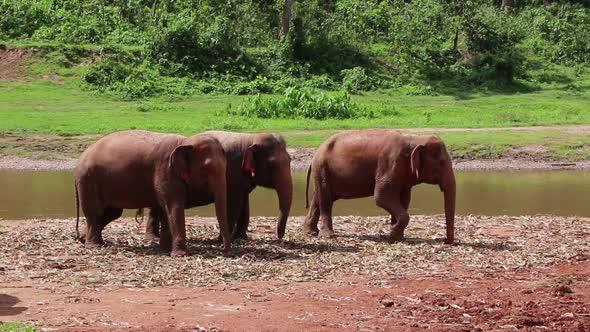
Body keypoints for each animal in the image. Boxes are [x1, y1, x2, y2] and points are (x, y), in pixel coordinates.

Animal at [74, 130, 231, 256]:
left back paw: (84, 239)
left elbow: (166, 210)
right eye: (206, 169)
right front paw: (180, 255)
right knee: (95, 212)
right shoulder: (165, 172)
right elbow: (174, 207)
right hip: (88, 180)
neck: (185, 141)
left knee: (112, 213)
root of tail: (81, 158)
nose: (222, 249)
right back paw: (94, 246)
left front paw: (165, 250)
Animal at [146, 131, 294, 243]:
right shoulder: (233, 172)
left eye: (290, 160)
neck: (250, 138)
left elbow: (245, 207)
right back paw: (153, 237)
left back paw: (154, 236)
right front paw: (224, 240)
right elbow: (234, 206)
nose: (279, 237)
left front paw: (241, 238)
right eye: (272, 165)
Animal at [302, 129, 460, 244]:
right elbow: (381, 197)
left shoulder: (404, 175)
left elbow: (404, 200)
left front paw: (396, 237)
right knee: (325, 201)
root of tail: (315, 153)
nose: (445, 241)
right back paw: (328, 236)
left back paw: (311, 233)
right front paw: (393, 234)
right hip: (322, 169)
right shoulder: (389, 164)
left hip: (323, 172)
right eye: (441, 163)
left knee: (318, 199)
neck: (415, 139)